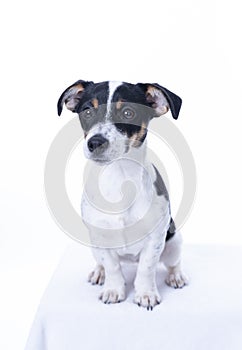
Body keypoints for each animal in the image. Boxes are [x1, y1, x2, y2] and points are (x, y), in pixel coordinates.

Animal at [57, 80, 188, 310]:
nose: (95, 142)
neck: (119, 179)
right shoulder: (101, 238)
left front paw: (145, 293)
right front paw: (113, 290)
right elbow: (112, 267)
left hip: (173, 242)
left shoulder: (155, 238)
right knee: (103, 263)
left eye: (128, 113)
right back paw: (98, 273)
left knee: (173, 263)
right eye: (87, 111)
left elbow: (146, 268)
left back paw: (175, 276)